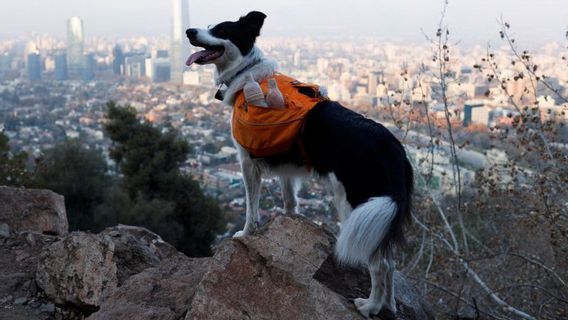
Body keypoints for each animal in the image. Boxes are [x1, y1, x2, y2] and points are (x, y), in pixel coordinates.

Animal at [186, 10, 412, 318]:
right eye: (208, 26)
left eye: (221, 30)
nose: (189, 31)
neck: (247, 73)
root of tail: (394, 149)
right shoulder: (286, 167)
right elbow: (290, 200)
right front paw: (289, 226)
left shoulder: (247, 162)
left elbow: (251, 207)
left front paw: (246, 233)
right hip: (377, 215)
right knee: (390, 262)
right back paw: (388, 304)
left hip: (358, 205)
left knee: (379, 265)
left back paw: (370, 305)